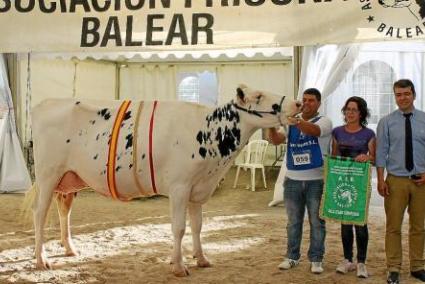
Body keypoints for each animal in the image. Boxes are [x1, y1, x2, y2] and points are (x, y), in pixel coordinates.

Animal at [30, 84, 302, 276]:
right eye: (258, 96)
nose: (297, 103)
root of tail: (44, 103)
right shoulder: (180, 186)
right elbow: (179, 227)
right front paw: (179, 266)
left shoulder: (198, 189)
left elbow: (197, 226)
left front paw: (201, 259)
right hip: (47, 175)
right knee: (40, 213)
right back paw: (41, 259)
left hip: (68, 179)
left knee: (64, 211)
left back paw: (70, 249)